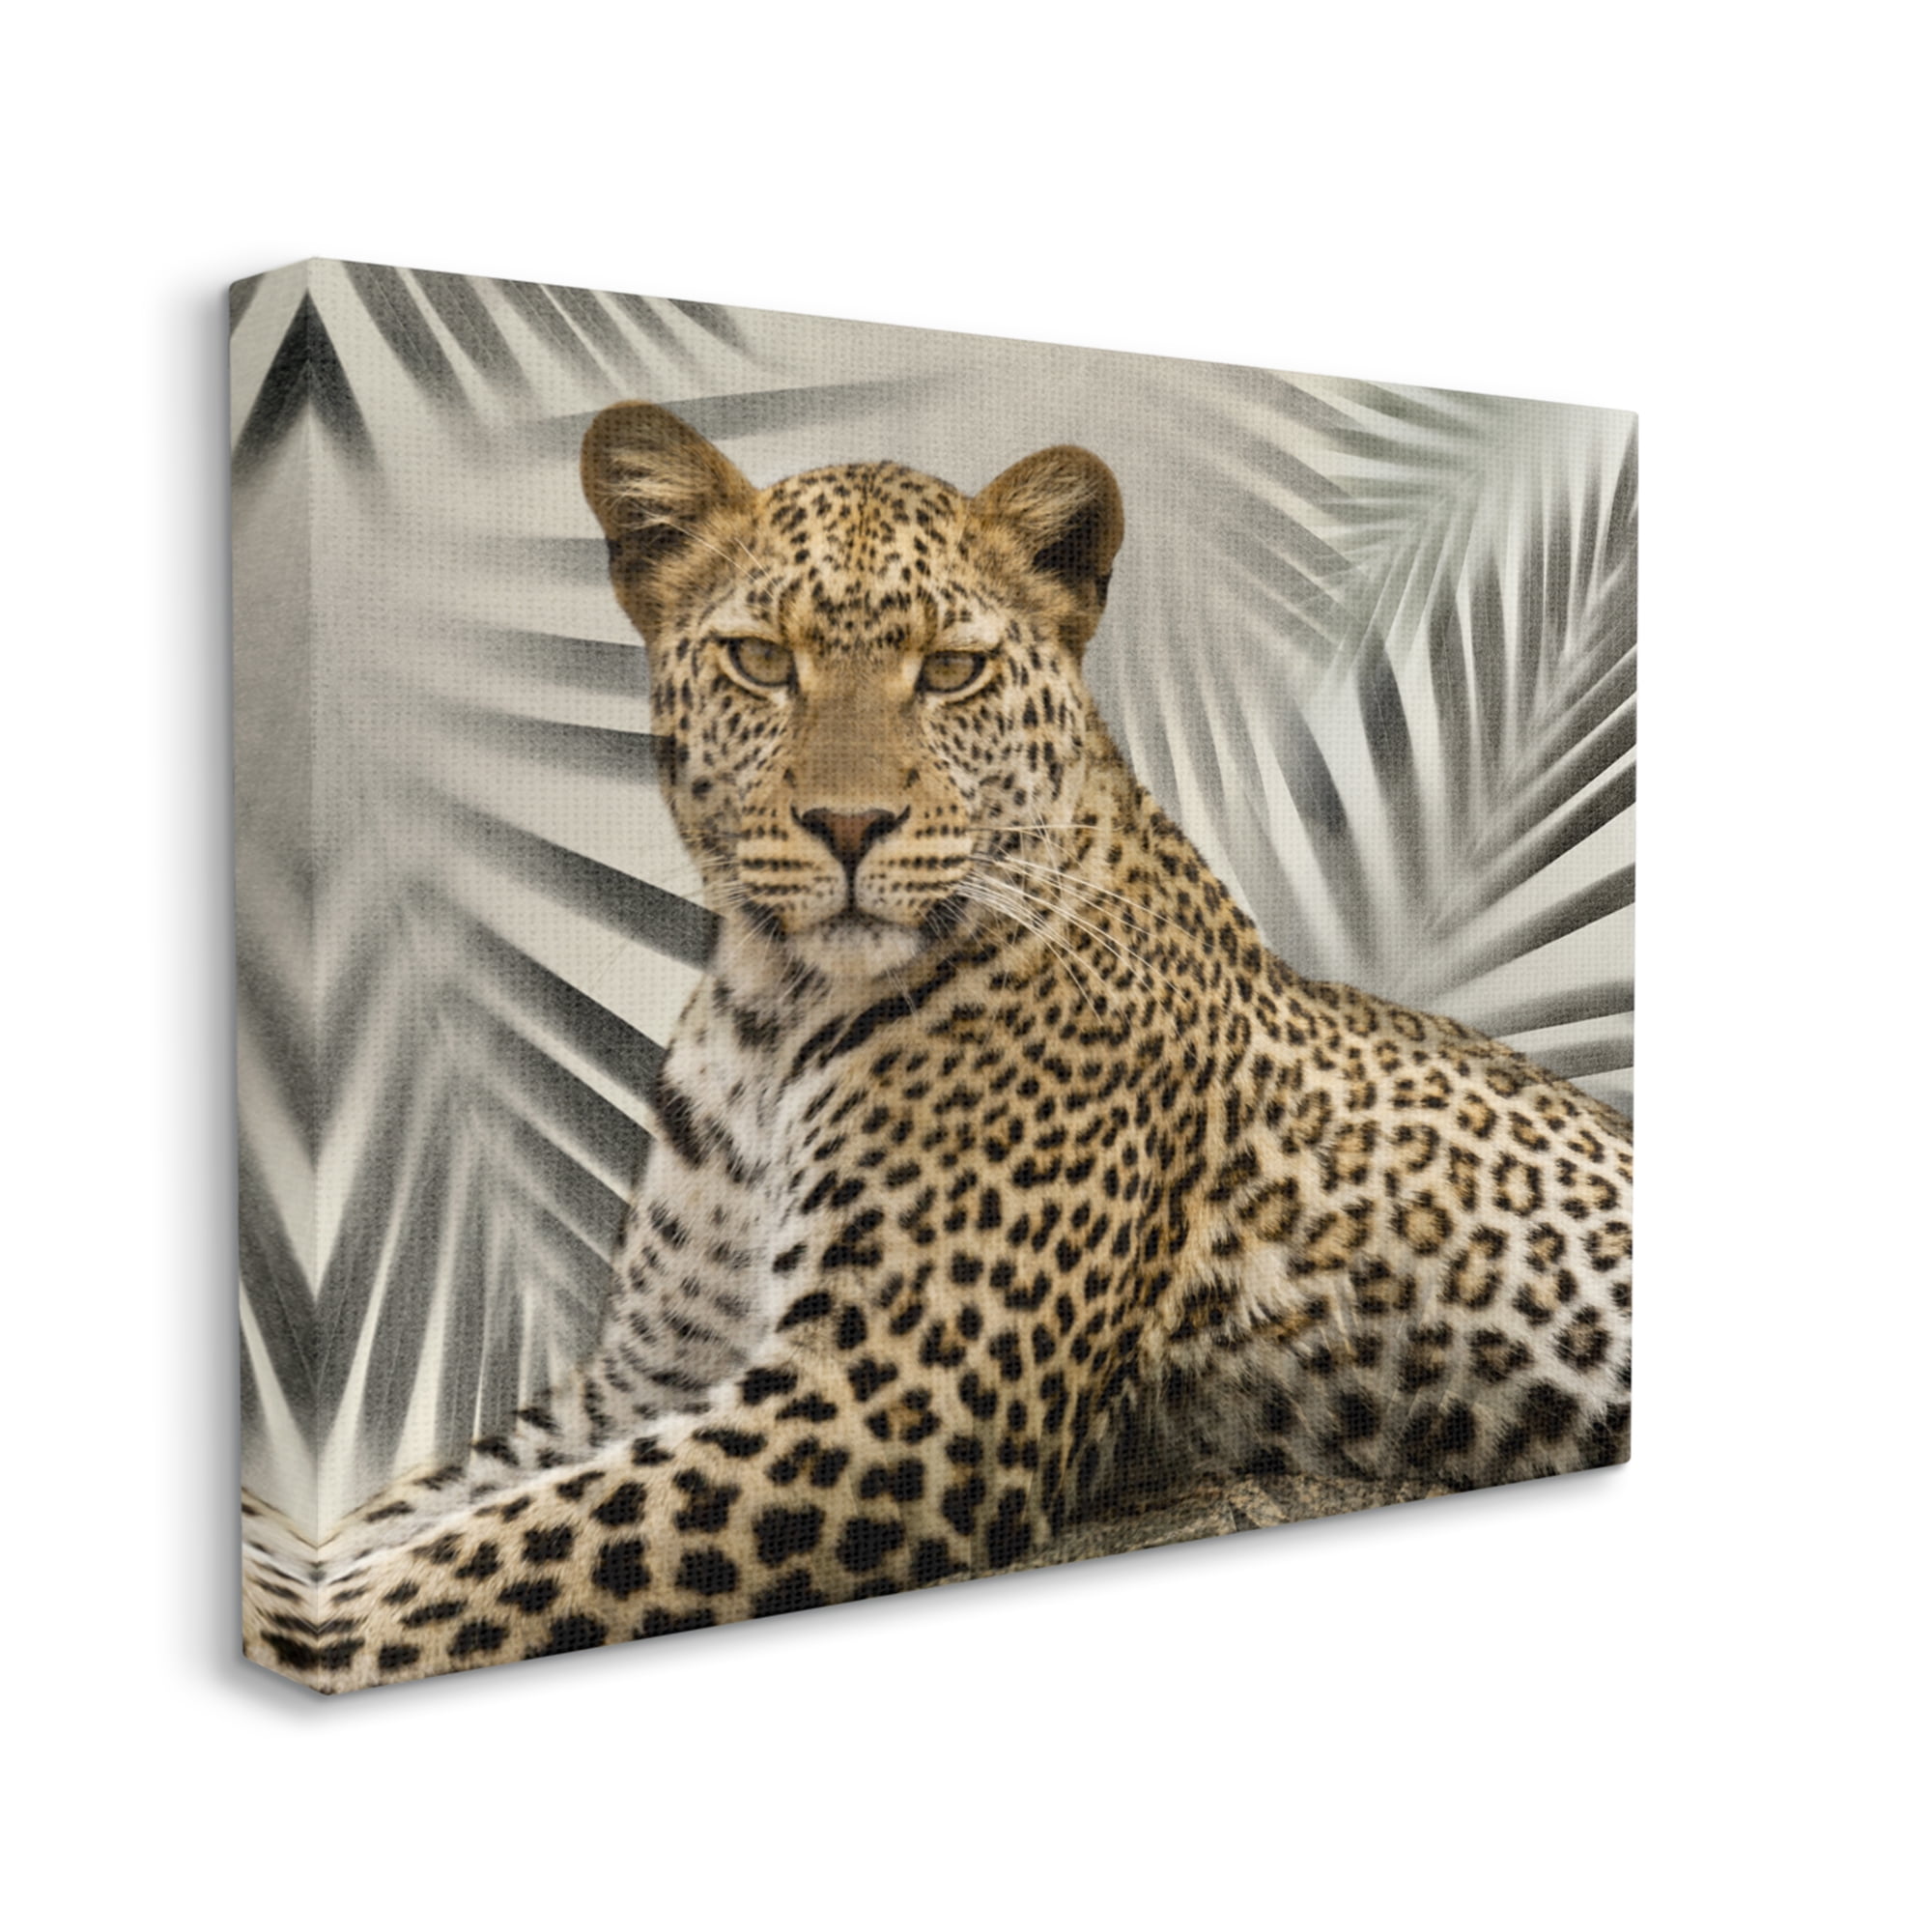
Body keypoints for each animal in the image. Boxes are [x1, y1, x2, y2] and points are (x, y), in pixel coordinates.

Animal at [243, 401, 1633, 1691]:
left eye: (953, 671)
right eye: (760, 660)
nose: (849, 824)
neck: (768, 1015)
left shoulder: (898, 1400)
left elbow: (485, 1560)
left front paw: (302, 1624)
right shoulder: (645, 1376)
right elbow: (432, 1506)